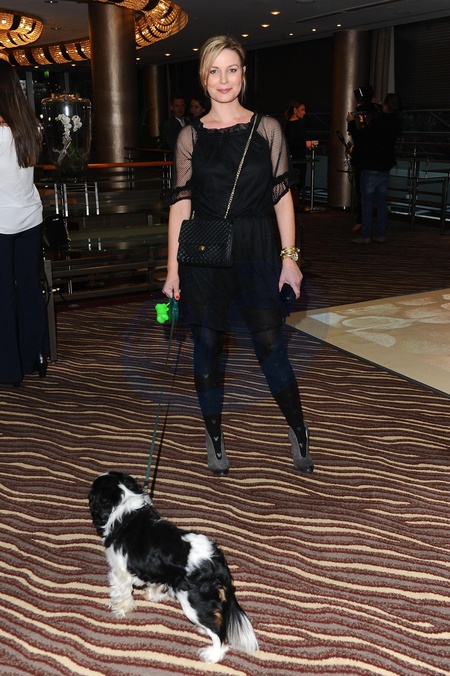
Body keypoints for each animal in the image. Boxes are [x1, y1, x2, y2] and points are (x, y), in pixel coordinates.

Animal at [88, 471, 259, 663]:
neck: (126, 510)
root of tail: (216, 562)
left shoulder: (120, 572)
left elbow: (122, 593)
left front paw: (122, 610)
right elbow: (155, 582)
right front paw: (154, 595)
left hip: (193, 603)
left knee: (218, 633)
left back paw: (212, 654)